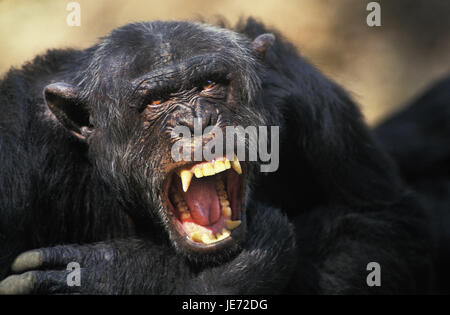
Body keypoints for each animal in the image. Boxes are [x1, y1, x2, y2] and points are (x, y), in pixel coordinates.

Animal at [0, 17, 434, 294]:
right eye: (155, 101)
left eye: (209, 84)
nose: (195, 120)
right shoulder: (16, 149)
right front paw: (138, 273)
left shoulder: (314, 102)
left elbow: (380, 223)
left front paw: (111, 273)